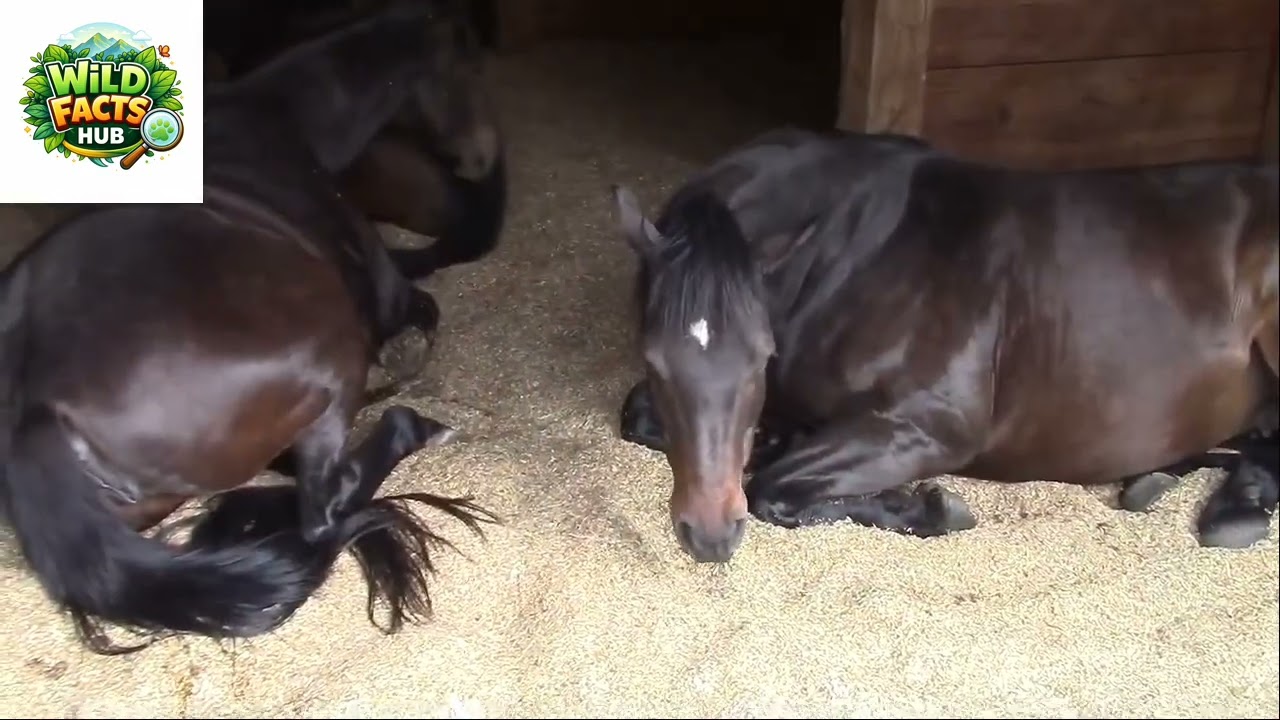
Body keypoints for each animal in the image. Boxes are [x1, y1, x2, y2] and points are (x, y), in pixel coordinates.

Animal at [0, 2, 501, 655]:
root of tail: (33, 412)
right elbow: (423, 312)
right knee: (323, 507)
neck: (282, 121)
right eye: (469, 64)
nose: (485, 158)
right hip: (331, 359)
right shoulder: (388, 296)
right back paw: (414, 428)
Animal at [610, 127, 1278, 564]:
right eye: (655, 360)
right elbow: (640, 418)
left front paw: (927, 508)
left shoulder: (932, 429)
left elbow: (770, 487)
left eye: (759, 360)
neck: (856, 256)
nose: (710, 535)